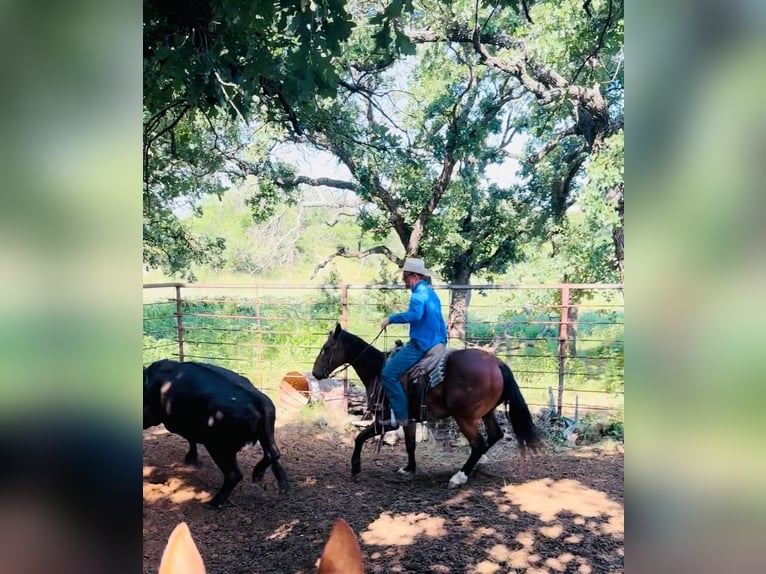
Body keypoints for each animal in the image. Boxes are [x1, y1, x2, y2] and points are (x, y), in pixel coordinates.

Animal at [142, 360, 290, 508]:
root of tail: (256, 399)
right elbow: (192, 440)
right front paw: (191, 458)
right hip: (266, 435)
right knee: (273, 454)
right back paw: (273, 480)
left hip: (218, 447)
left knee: (234, 475)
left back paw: (215, 502)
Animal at [310, 326, 540, 488]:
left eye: (326, 348)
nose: (315, 373)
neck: (377, 371)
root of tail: (497, 364)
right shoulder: (408, 420)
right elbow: (410, 445)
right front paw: (409, 468)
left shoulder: (387, 420)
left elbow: (359, 437)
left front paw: (356, 467)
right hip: (487, 413)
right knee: (494, 435)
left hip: (465, 417)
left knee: (478, 444)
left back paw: (459, 477)